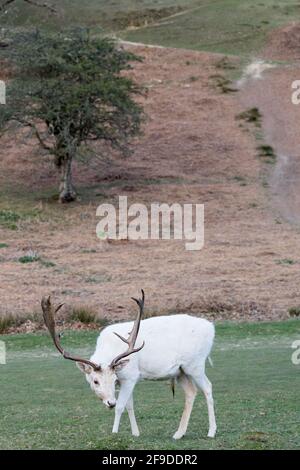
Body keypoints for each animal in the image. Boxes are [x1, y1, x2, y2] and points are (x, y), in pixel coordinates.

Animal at [41, 290, 217, 440]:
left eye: (113, 380)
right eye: (95, 381)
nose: (110, 403)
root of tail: (212, 328)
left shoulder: (131, 376)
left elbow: (121, 406)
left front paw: (114, 432)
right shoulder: (125, 380)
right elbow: (129, 405)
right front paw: (135, 433)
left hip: (195, 364)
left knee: (208, 387)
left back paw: (211, 431)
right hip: (180, 371)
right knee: (191, 392)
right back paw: (178, 434)